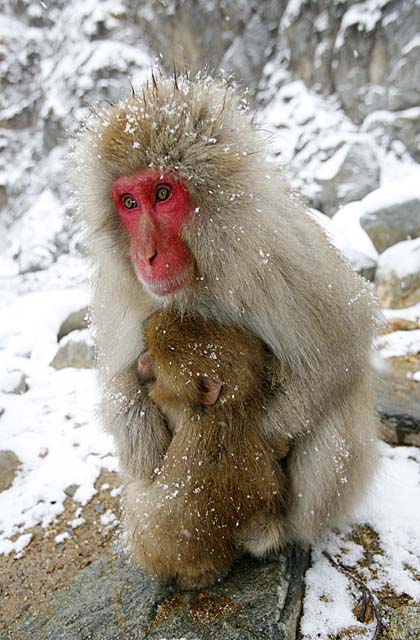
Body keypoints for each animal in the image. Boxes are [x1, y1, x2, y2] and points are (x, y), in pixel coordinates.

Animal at [74, 72, 378, 584]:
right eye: (129, 202)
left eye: (163, 194)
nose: (147, 255)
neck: (201, 275)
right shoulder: (123, 284)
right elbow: (119, 380)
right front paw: (143, 444)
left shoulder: (275, 251)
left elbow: (339, 350)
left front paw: (261, 436)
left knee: (336, 413)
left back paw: (277, 538)